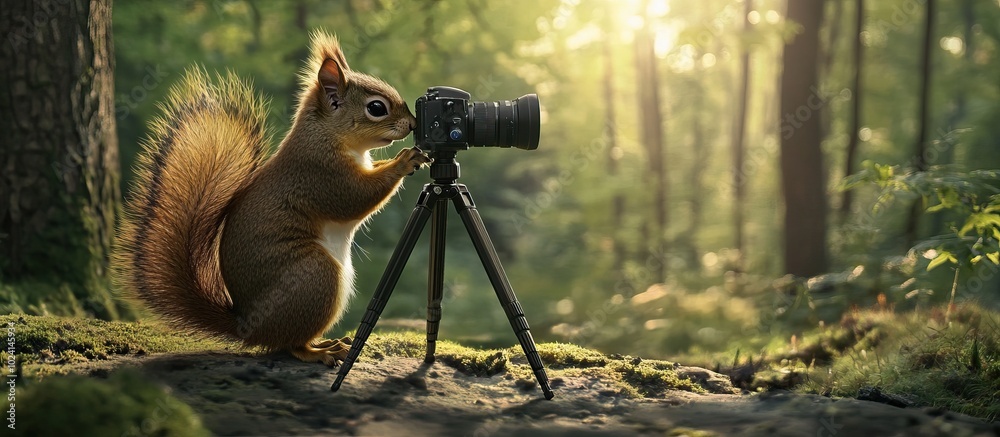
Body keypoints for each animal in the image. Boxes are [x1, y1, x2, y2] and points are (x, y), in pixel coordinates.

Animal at [112, 31, 430, 366]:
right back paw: (321, 352)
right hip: (315, 276)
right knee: (290, 345)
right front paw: (404, 161)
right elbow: (357, 198)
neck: (326, 135)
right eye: (377, 108)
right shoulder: (321, 176)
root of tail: (248, 327)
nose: (413, 125)